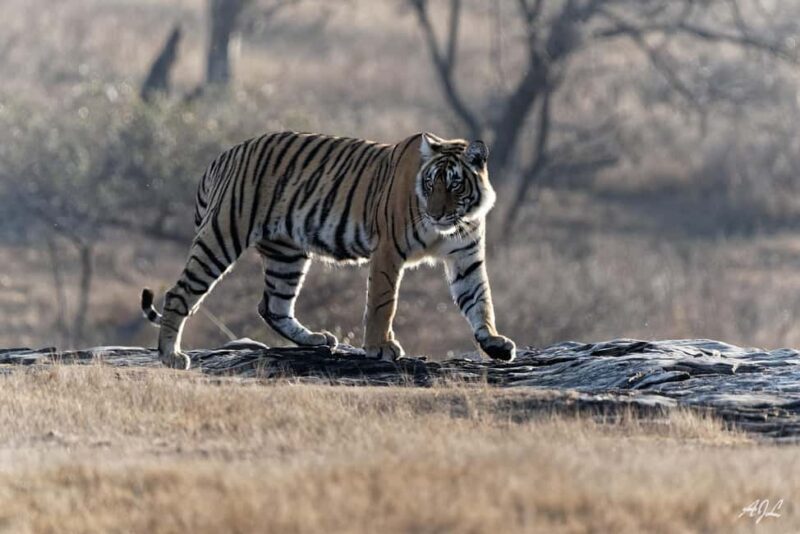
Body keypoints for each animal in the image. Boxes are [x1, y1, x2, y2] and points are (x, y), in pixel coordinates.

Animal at [141, 131, 516, 369]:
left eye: (454, 184)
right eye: (429, 183)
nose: (436, 214)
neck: (454, 224)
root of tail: (223, 155)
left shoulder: (466, 257)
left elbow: (479, 300)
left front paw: (494, 343)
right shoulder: (388, 251)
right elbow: (382, 303)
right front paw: (379, 347)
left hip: (287, 253)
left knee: (272, 305)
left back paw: (314, 339)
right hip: (223, 234)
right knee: (179, 292)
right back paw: (170, 357)